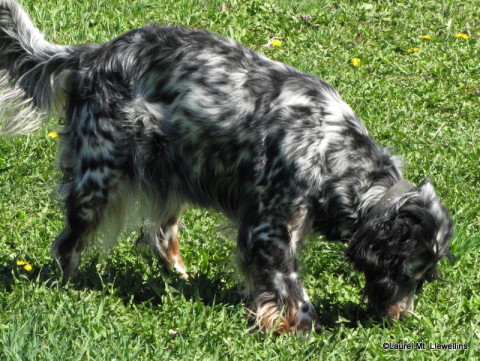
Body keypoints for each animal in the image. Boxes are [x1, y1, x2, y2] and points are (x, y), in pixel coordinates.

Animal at [0, 0, 452, 334]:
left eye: (424, 277)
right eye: (406, 270)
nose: (401, 319)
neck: (330, 151)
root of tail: (90, 55)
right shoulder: (268, 229)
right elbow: (294, 293)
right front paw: (301, 330)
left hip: (174, 173)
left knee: (159, 237)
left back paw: (182, 278)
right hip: (97, 181)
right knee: (68, 245)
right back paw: (68, 285)